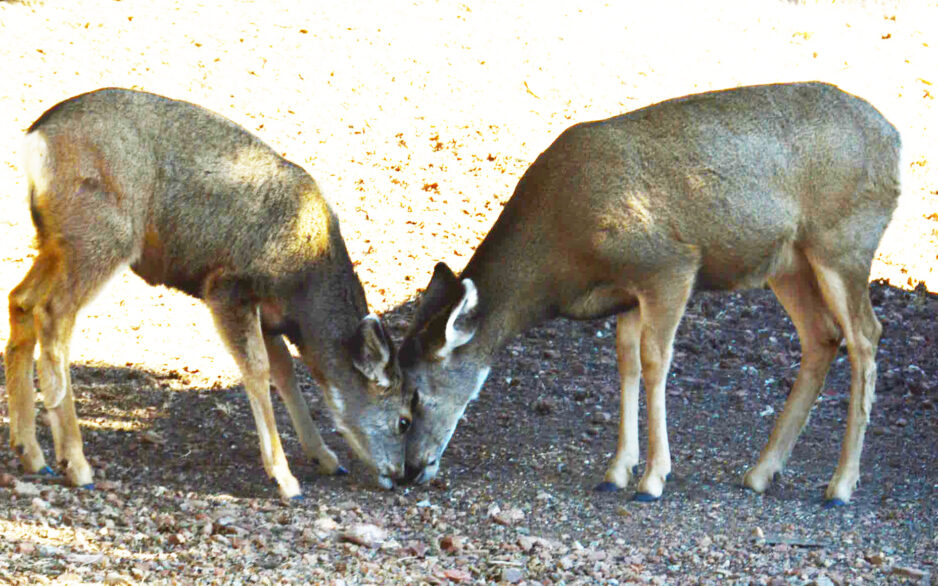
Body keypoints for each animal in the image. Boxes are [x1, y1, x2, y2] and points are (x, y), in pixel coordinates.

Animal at [4, 88, 414, 499]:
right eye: (405, 420)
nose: (400, 474)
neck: (304, 284)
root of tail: (34, 139)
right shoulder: (228, 287)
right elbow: (259, 369)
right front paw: (284, 477)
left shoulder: (268, 314)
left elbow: (285, 372)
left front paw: (325, 457)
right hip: (102, 234)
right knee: (53, 313)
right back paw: (76, 464)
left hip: (57, 240)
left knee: (21, 300)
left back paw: (32, 454)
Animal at [399, 82, 900, 506]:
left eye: (415, 397)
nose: (410, 470)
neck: (562, 253)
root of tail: (894, 139)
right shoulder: (629, 292)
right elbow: (627, 363)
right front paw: (616, 470)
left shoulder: (668, 264)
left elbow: (656, 361)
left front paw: (653, 478)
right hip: (788, 263)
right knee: (822, 336)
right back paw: (761, 472)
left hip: (843, 242)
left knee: (866, 335)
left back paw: (840, 485)